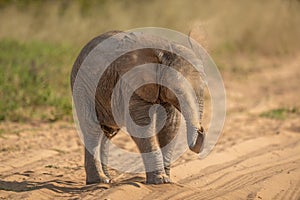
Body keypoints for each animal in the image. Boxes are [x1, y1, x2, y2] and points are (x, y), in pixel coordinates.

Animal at [70, 30, 206, 185]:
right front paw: (160, 180)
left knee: (107, 133)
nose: (201, 130)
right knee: (92, 129)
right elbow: (140, 126)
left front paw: (167, 180)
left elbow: (170, 125)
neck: (165, 52)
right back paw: (99, 180)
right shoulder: (130, 83)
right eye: (177, 91)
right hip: (81, 86)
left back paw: (107, 179)